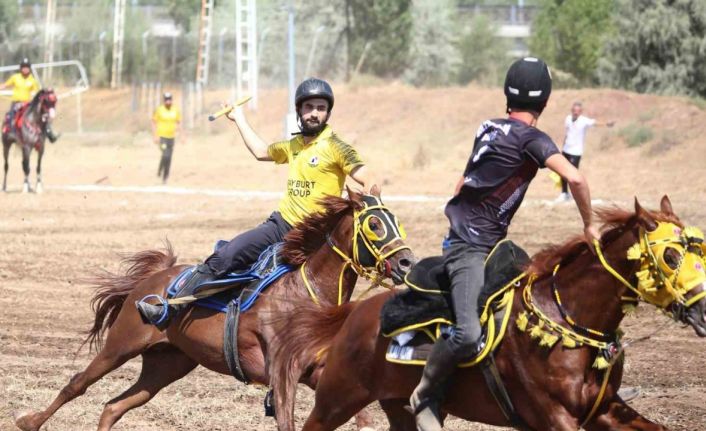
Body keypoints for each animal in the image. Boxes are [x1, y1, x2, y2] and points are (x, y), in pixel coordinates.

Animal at [11, 192, 412, 431]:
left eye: (397, 220)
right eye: (374, 223)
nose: (407, 261)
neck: (304, 293)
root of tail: (155, 278)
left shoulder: (319, 372)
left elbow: (359, 412)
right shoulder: (282, 373)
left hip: (166, 364)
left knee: (115, 406)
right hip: (121, 344)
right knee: (77, 383)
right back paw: (29, 420)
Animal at [270, 197, 704, 431]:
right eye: (670, 255)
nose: (701, 309)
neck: (567, 316)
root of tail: (357, 311)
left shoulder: (605, 411)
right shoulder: (554, 416)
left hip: (395, 406)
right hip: (337, 398)